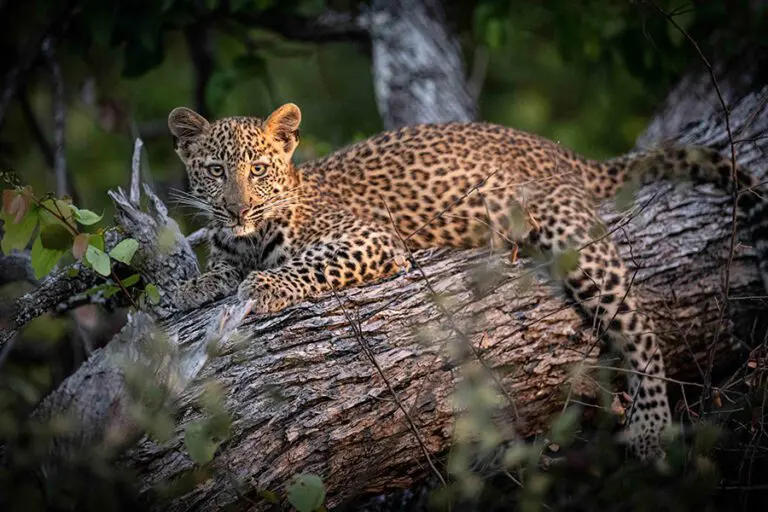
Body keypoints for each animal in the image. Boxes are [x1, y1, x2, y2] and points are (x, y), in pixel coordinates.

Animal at [167, 103, 768, 463]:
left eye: (258, 169)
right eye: (217, 171)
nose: (237, 207)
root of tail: (557, 150)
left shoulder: (371, 239)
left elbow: (303, 265)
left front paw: (264, 286)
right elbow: (216, 272)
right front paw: (187, 290)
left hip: (573, 235)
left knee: (638, 324)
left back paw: (649, 424)